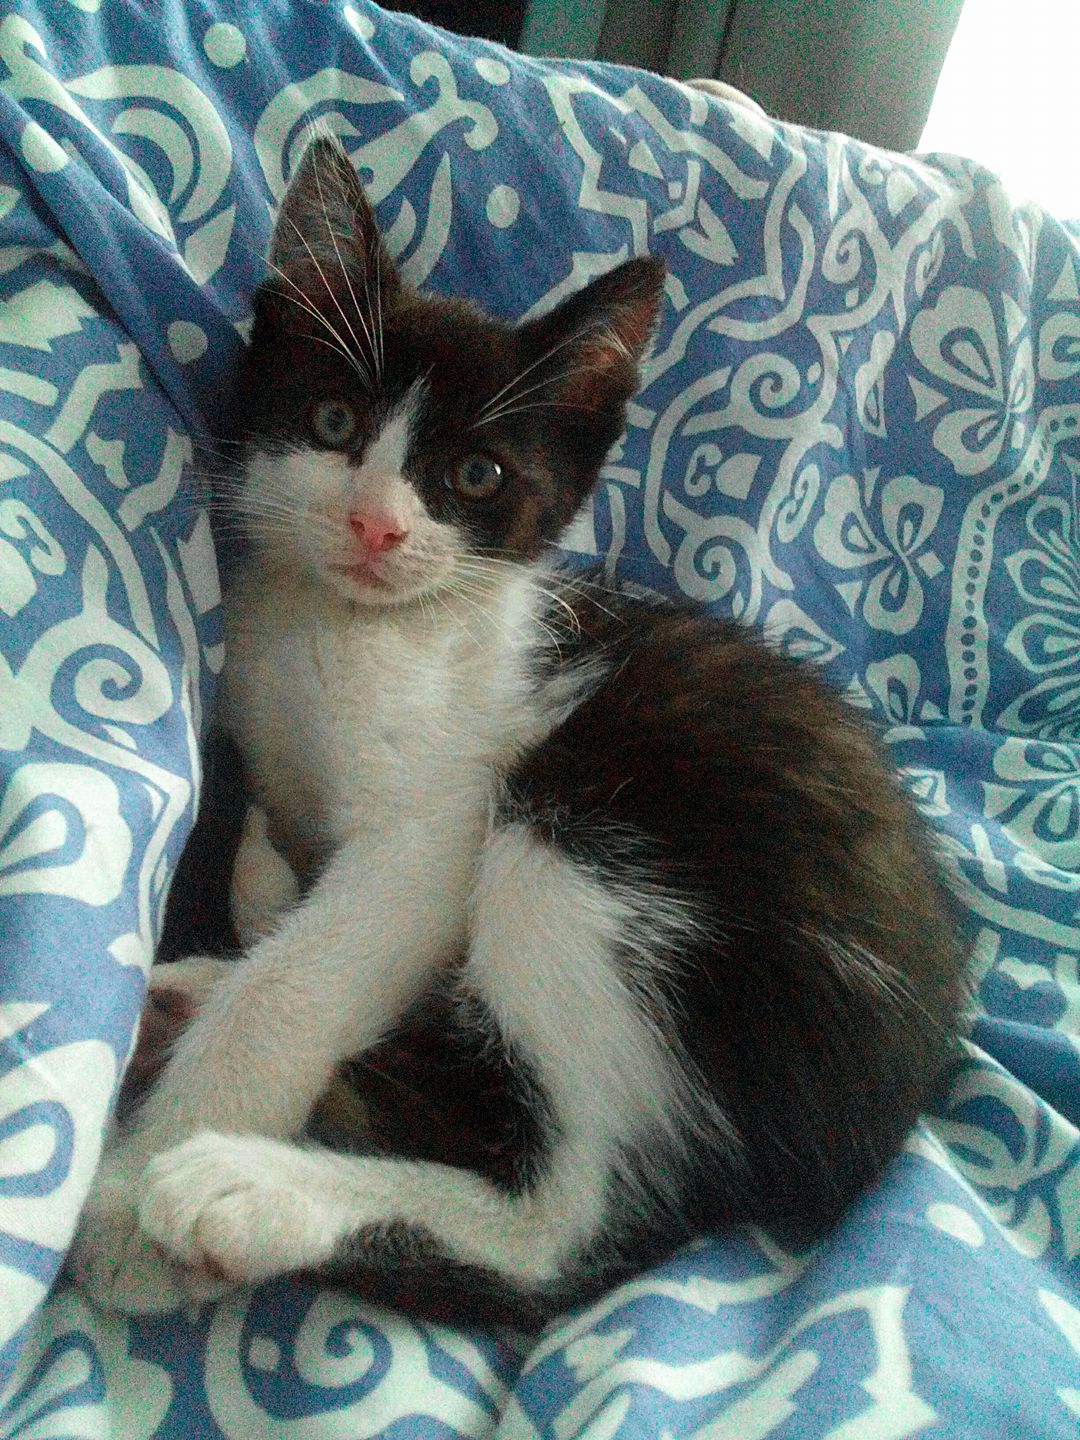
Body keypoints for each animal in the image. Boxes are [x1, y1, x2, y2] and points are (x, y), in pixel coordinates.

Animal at [70, 135, 967, 1327]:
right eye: (334, 423)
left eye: (476, 476)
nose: (376, 526)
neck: (349, 626)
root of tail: (894, 1104)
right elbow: (290, 886)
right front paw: (252, 908)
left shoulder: (441, 819)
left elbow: (298, 981)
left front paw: (134, 1200)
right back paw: (191, 999)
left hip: (584, 838)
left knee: (568, 1230)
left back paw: (249, 1192)